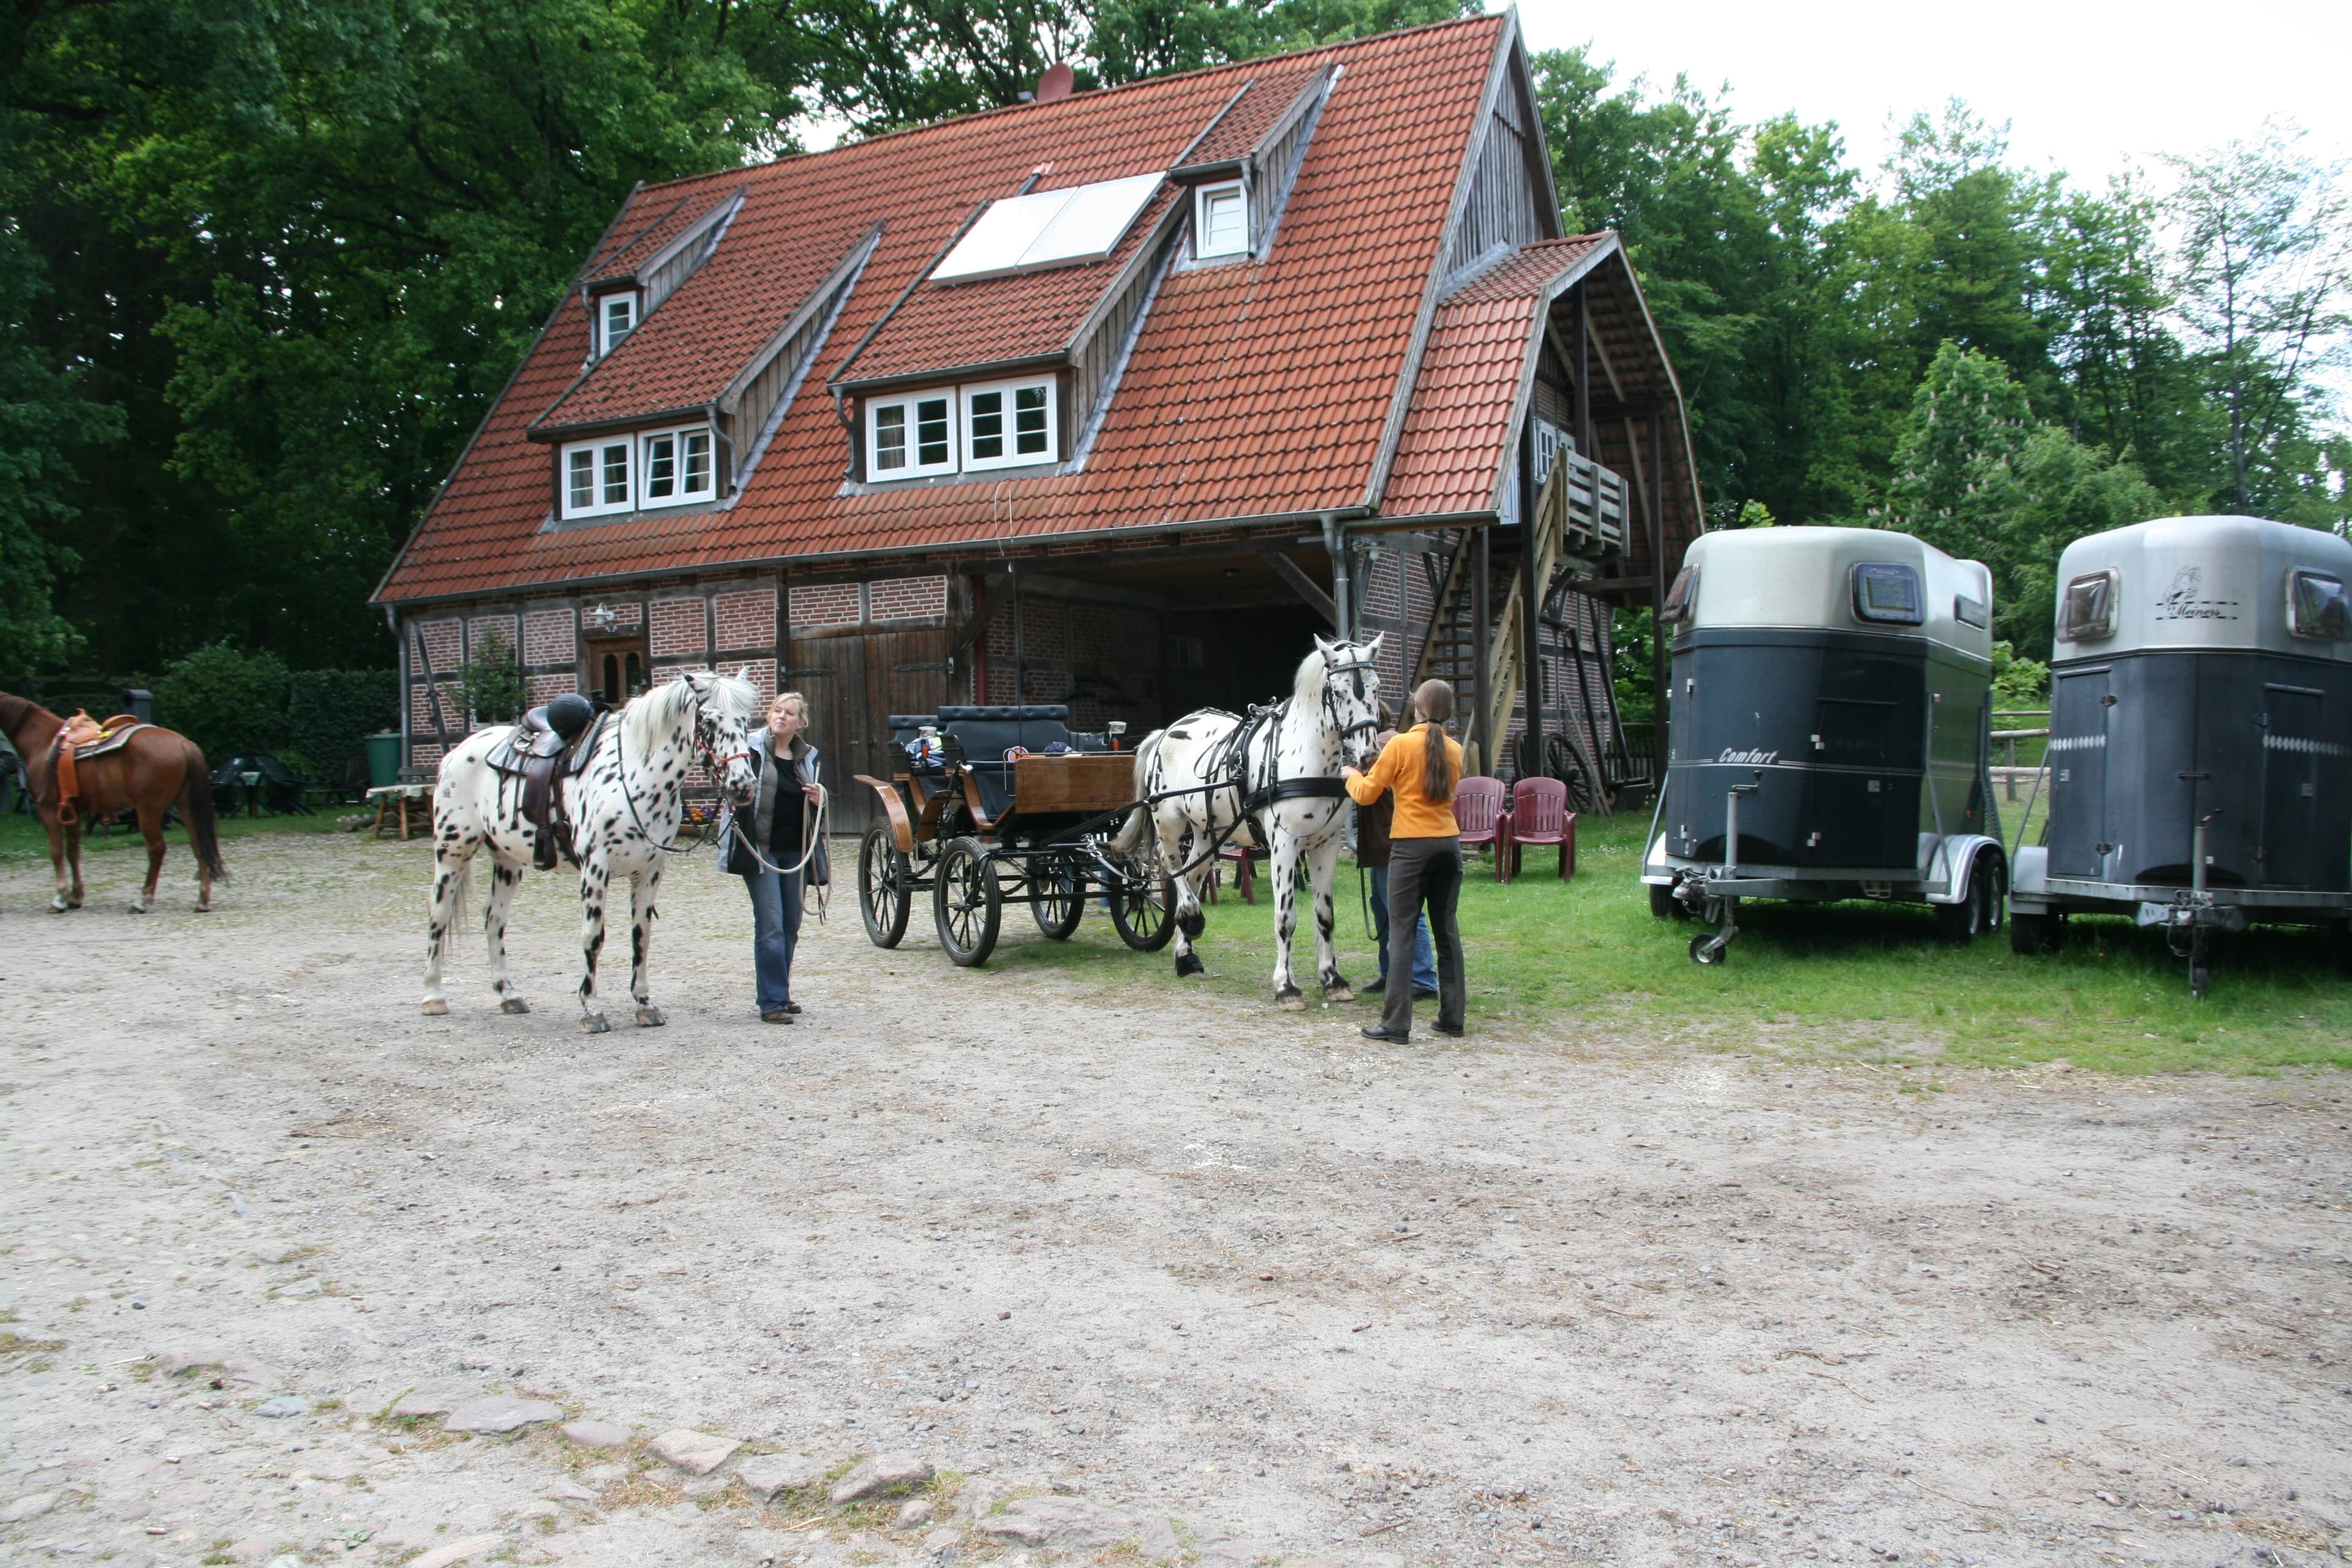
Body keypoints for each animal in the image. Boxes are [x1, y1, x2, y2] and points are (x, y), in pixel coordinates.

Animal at [2, 691, 227, 912]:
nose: (8, 762)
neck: (43, 740)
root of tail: (184, 744)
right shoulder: (71, 811)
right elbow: (72, 852)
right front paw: (75, 897)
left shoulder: (48, 809)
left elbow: (56, 851)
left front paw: (59, 899)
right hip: (185, 806)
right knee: (198, 845)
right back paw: (202, 900)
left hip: (149, 811)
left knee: (157, 849)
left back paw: (142, 901)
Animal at [418, 672, 757, 1030]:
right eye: (709, 722)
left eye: (744, 720)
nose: (743, 786)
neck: (635, 776)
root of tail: (458, 753)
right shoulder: (596, 867)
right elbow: (593, 937)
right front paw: (592, 1009)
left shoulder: (650, 871)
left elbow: (641, 936)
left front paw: (644, 1003)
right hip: (453, 850)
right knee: (439, 912)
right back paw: (433, 995)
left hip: (507, 860)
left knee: (494, 918)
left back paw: (508, 994)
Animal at [1110, 635, 1382, 1011]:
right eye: (1339, 693)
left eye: (1375, 688)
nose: (1369, 755)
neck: (1304, 753)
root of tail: (1167, 731)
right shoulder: (1284, 845)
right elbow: (1286, 918)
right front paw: (1286, 987)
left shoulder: (1325, 845)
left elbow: (1325, 915)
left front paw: (1333, 980)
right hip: (1168, 822)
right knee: (1171, 865)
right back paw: (1191, 918)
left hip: (1207, 834)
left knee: (1194, 874)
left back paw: (1185, 953)